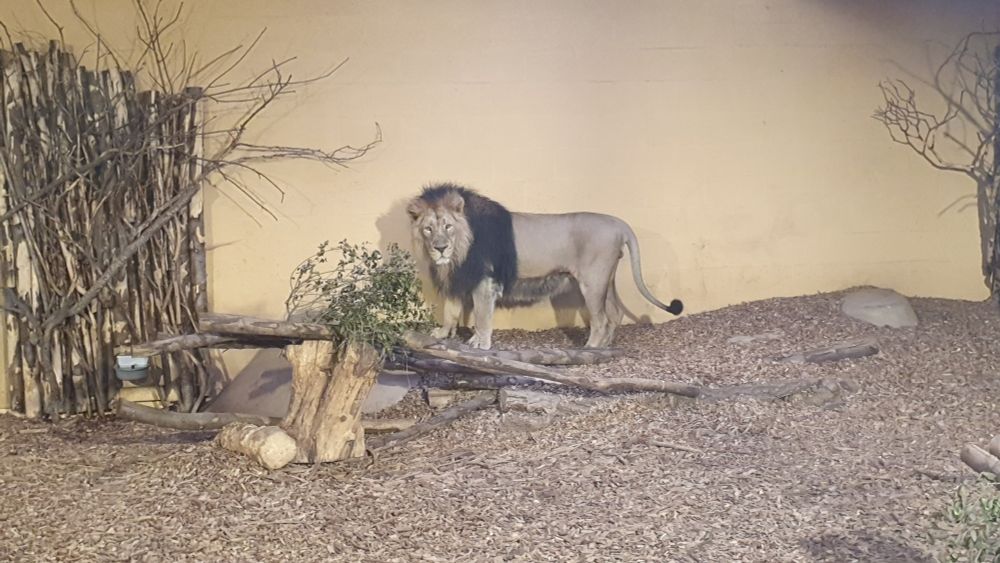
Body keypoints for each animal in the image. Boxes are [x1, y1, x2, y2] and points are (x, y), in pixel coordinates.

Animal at [407, 182, 683, 350]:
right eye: (428, 229)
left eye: (448, 226)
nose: (440, 248)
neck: (459, 251)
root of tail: (619, 224)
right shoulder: (459, 277)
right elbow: (450, 310)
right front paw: (442, 333)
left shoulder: (485, 282)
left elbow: (482, 316)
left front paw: (480, 342)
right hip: (607, 279)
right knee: (615, 313)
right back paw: (605, 347)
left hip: (592, 282)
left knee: (601, 319)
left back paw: (590, 349)